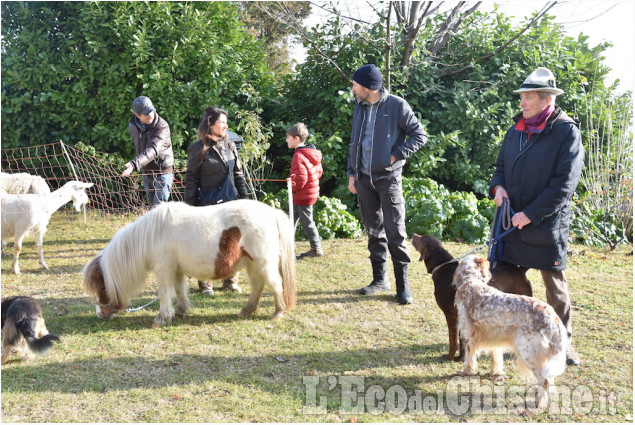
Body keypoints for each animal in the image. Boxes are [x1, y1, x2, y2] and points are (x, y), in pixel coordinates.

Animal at [82, 200, 298, 326]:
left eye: (102, 287)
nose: (101, 314)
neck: (152, 234)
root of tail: (272, 213)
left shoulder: (163, 270)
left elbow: (164, 293)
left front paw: (161, 319)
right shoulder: (176, 270)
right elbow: (178, 290)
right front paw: (180, 312)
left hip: (263, 262)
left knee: (275, 284)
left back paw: (278, 312)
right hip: (252, 264)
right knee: (258, 285)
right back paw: (246, 311)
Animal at [454, 255, 568, 408]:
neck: (471, 281)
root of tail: (552, 317)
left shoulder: (468, 334)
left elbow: (469, 358)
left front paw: (466, 372)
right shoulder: (494, 338)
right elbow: (496, 358)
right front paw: (496, 374)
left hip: (526, 351)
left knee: (544, 380)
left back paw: (538, 403)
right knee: (548, 379)